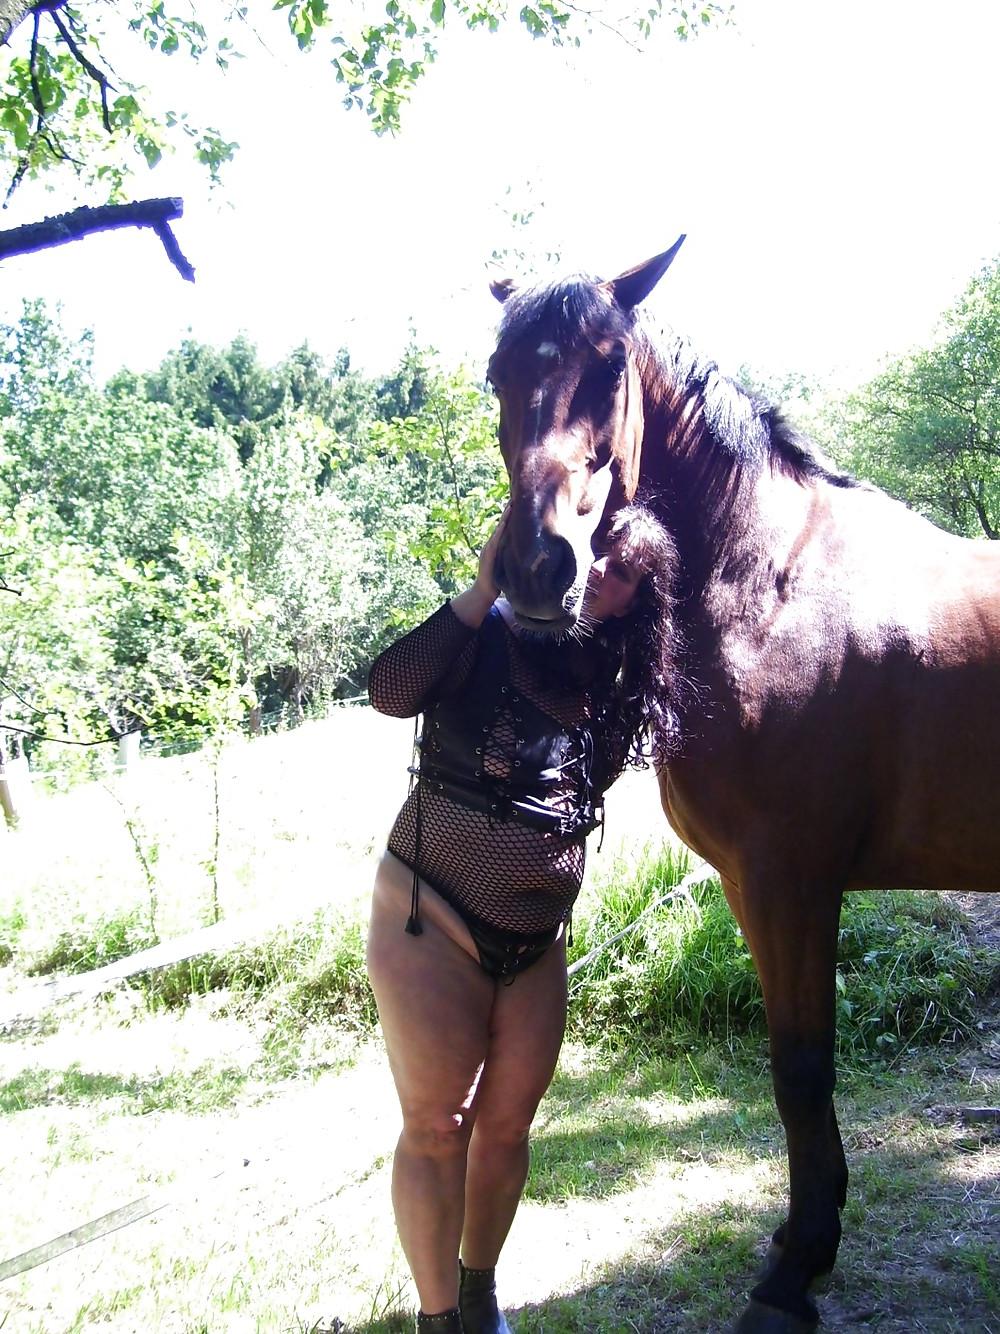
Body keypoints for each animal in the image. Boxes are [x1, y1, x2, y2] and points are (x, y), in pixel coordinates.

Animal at [485, 237, 1000, 1333]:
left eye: (607, 367)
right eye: (497, 377)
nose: (542, 569)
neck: (768, 584)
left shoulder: (788, 882)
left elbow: (801, 1069)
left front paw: (794, 1270)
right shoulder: (753, 886)